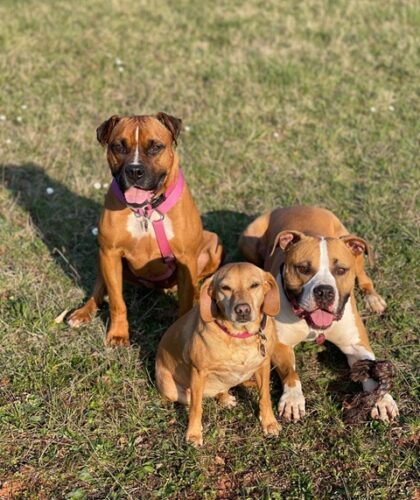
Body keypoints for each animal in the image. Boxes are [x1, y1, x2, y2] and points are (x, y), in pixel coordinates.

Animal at [68, 113, 223, 345]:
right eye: (119, 146)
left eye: (155, 147)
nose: (134, 170)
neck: (146, 211)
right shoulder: (110, 254)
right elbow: (117, 301)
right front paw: (118, 334)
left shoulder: (186, 259)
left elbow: (185, 303)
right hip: (103, 259)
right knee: (99, 288)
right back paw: (84, 312)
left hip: (214, 244)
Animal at [155, 263, 281, 446]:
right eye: (225, 288)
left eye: (254, 285)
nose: (242, 310)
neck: (240, 336)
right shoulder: (199, 372)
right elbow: (196, 408)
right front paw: (194, 434)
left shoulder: (263, 365)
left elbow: (265, 397)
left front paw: (269, 422)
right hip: (172, 389)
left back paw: (226, 396)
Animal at [239, 206, 398, 422]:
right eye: (303, 268)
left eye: (341, 270)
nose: (324, 291)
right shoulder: (280, 344)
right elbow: (290, 372)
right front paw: (293, 398)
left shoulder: (355, 344)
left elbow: (370, 367)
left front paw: (382, 399)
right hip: (248, 241)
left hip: (356, 252)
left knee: (364, 277)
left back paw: (373, 299)